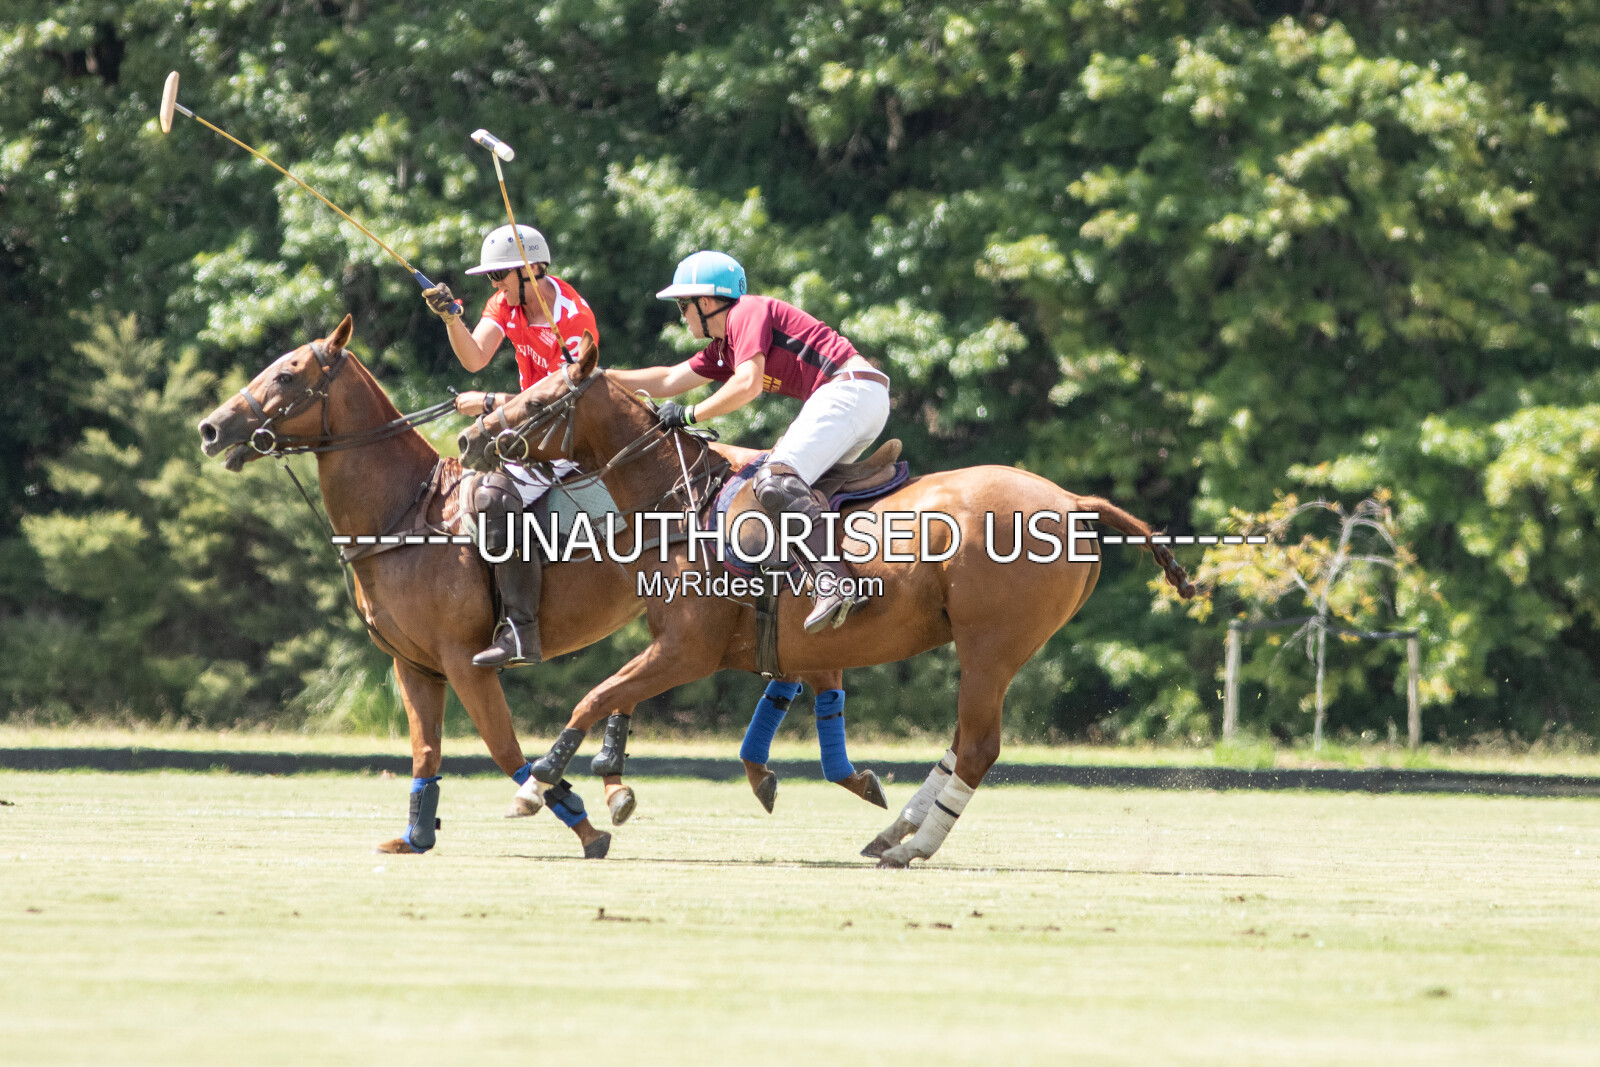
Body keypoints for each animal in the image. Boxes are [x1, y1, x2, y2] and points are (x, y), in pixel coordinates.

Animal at [196, 315, 877, 857]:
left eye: (287, 375)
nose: (210, 429)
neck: (404, 513)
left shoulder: (465, 660)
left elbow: (503, 748)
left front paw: (574, 819)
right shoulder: (413, 665)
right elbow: (425, 752)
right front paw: (416, 837)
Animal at [457, 333, 1196, 867]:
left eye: (543, 399)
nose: (469, 440)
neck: (678, 500)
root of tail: (1072, 499)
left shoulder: (687, 650)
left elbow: (594, 696)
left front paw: (535, 786)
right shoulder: (724, 649)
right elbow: (622, 697)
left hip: (992, 645)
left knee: (979, 746)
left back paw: (913, 846)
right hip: (993, 651)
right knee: (962, 742)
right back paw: (896, 832)